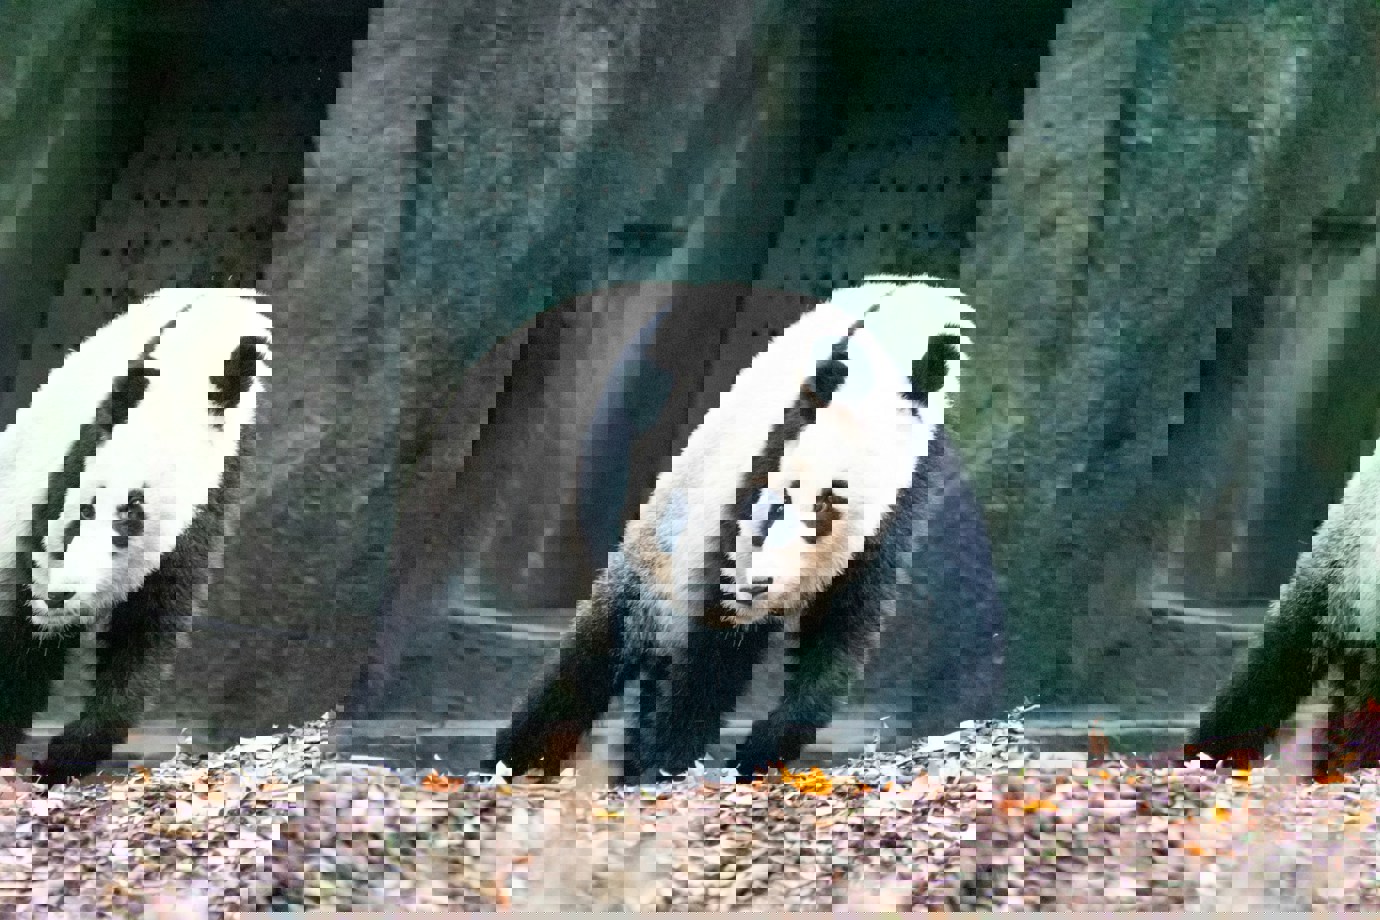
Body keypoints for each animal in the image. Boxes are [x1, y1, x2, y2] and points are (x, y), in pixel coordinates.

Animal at [0, 288, 271, 785]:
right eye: (84, 509)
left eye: (133, 519)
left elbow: (150, 630)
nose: (62, 596)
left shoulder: (212, 490)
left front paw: (65, 755)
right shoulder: (76, 456)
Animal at [490, 276, 971, 785]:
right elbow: (710, 646)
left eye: (828, 510)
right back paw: (521, 760)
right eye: (778, 505)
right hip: (669, 528)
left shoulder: (906, 492)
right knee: (591, 660)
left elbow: (844, 630)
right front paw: (663, 762)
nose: (756, 586)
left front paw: (758, 750)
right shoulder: (763, 456)